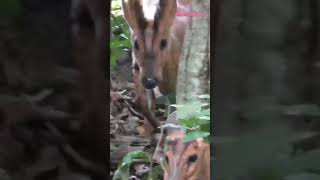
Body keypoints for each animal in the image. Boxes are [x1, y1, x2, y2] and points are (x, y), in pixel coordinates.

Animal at [121, 0, 191, 129]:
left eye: (164, 43)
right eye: (136, 44)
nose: (150, 81)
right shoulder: (137, 68)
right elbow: (141, 102)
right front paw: (151, 127)